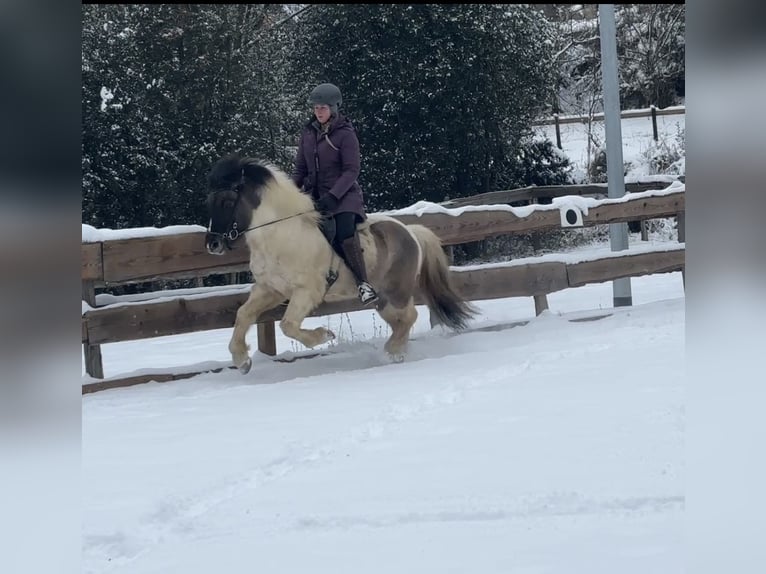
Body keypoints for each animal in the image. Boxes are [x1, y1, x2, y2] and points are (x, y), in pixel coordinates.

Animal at [204, 154, 477, 373]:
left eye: (227, 201)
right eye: (210, 201)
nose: (212, 245)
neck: (280, 234)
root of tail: (411, 231)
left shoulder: (307, 291)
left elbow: (288, 325)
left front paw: (323, 335)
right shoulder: (270, 289)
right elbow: (243, 314)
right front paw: (242, 360)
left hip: (397, 292)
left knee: (409, 316)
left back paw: (392, 352)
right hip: (383, 299)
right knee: (401, 321)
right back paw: (396, 351)